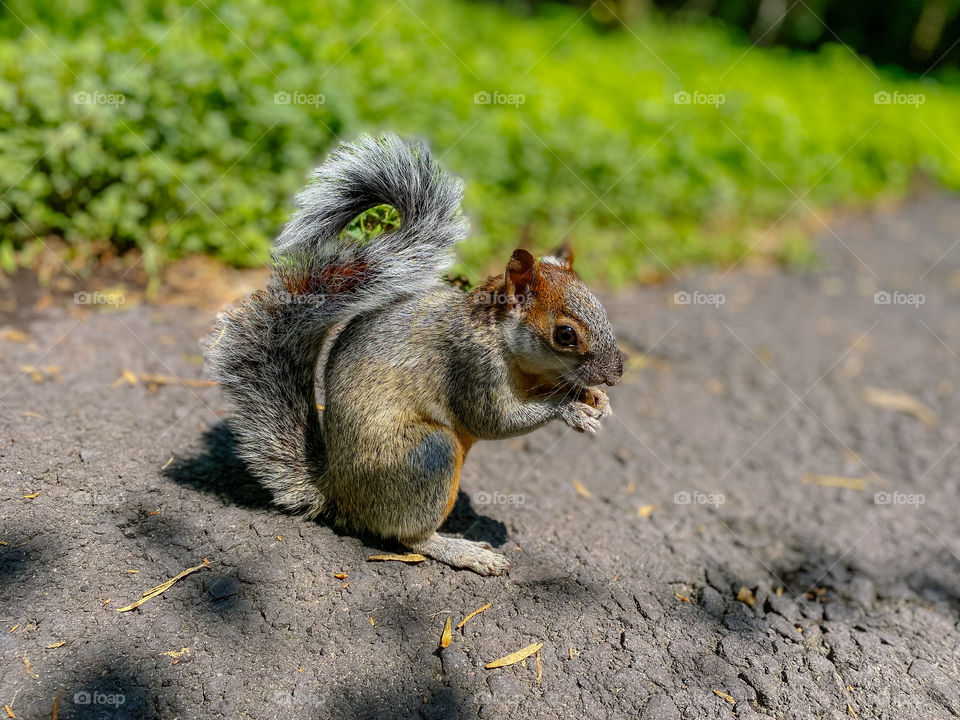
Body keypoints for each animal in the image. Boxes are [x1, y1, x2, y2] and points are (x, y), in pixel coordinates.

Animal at [204, 135, 623, 575]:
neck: (502, 341)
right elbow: (493, 420)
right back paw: (463, 551)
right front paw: (570, 409)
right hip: (428, 454)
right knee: (408, 535)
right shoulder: (472, 364)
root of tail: (340, 495)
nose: (616, 374)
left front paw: (596, 398)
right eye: (565, 334)